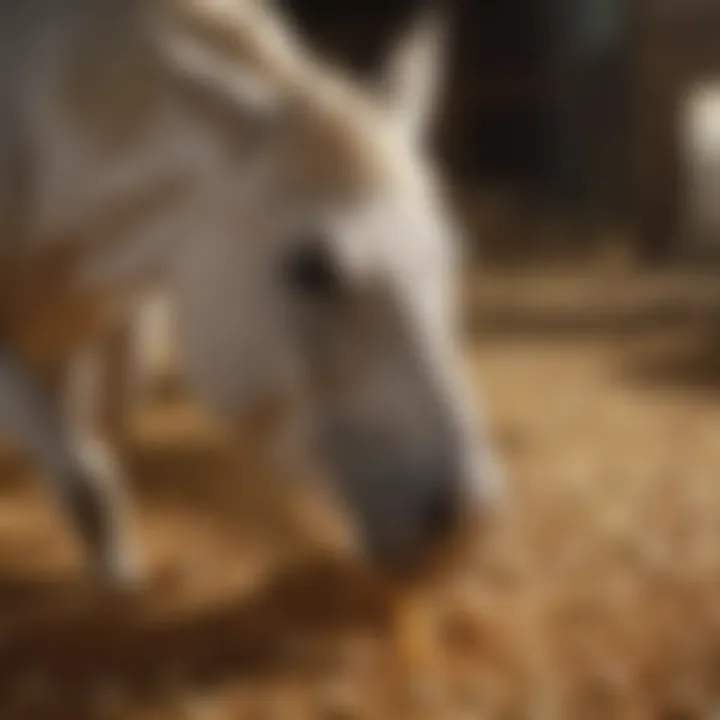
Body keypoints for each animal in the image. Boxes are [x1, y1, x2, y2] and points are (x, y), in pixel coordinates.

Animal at [0, 0, 500, 584]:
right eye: (311, 268)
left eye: (448, 254)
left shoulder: (103, 326)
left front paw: (115, 575)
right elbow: (87, 481)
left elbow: (99, 450)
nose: (467, 525)